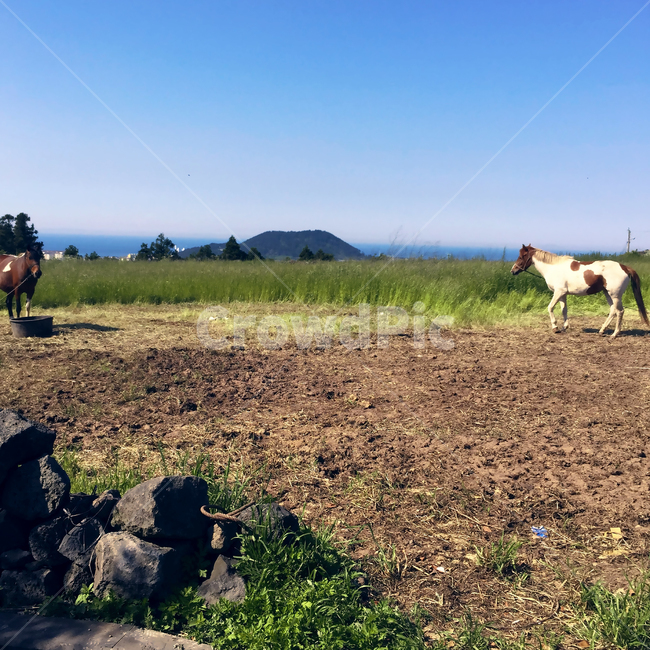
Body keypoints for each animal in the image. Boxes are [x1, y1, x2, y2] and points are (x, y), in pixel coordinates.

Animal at [511, 244, 648, 338]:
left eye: (522, 256)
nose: (513, 270)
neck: (554, 268)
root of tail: (625, 267)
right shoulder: (563, 294)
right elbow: (564, 310)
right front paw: (564, 327)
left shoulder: (558, 292)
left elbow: (550, 308)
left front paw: (555, 327)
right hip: (607, 294)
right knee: (612, 311)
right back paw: (602, 330)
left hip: (615, 295)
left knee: (620, 311)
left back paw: (614, 334)